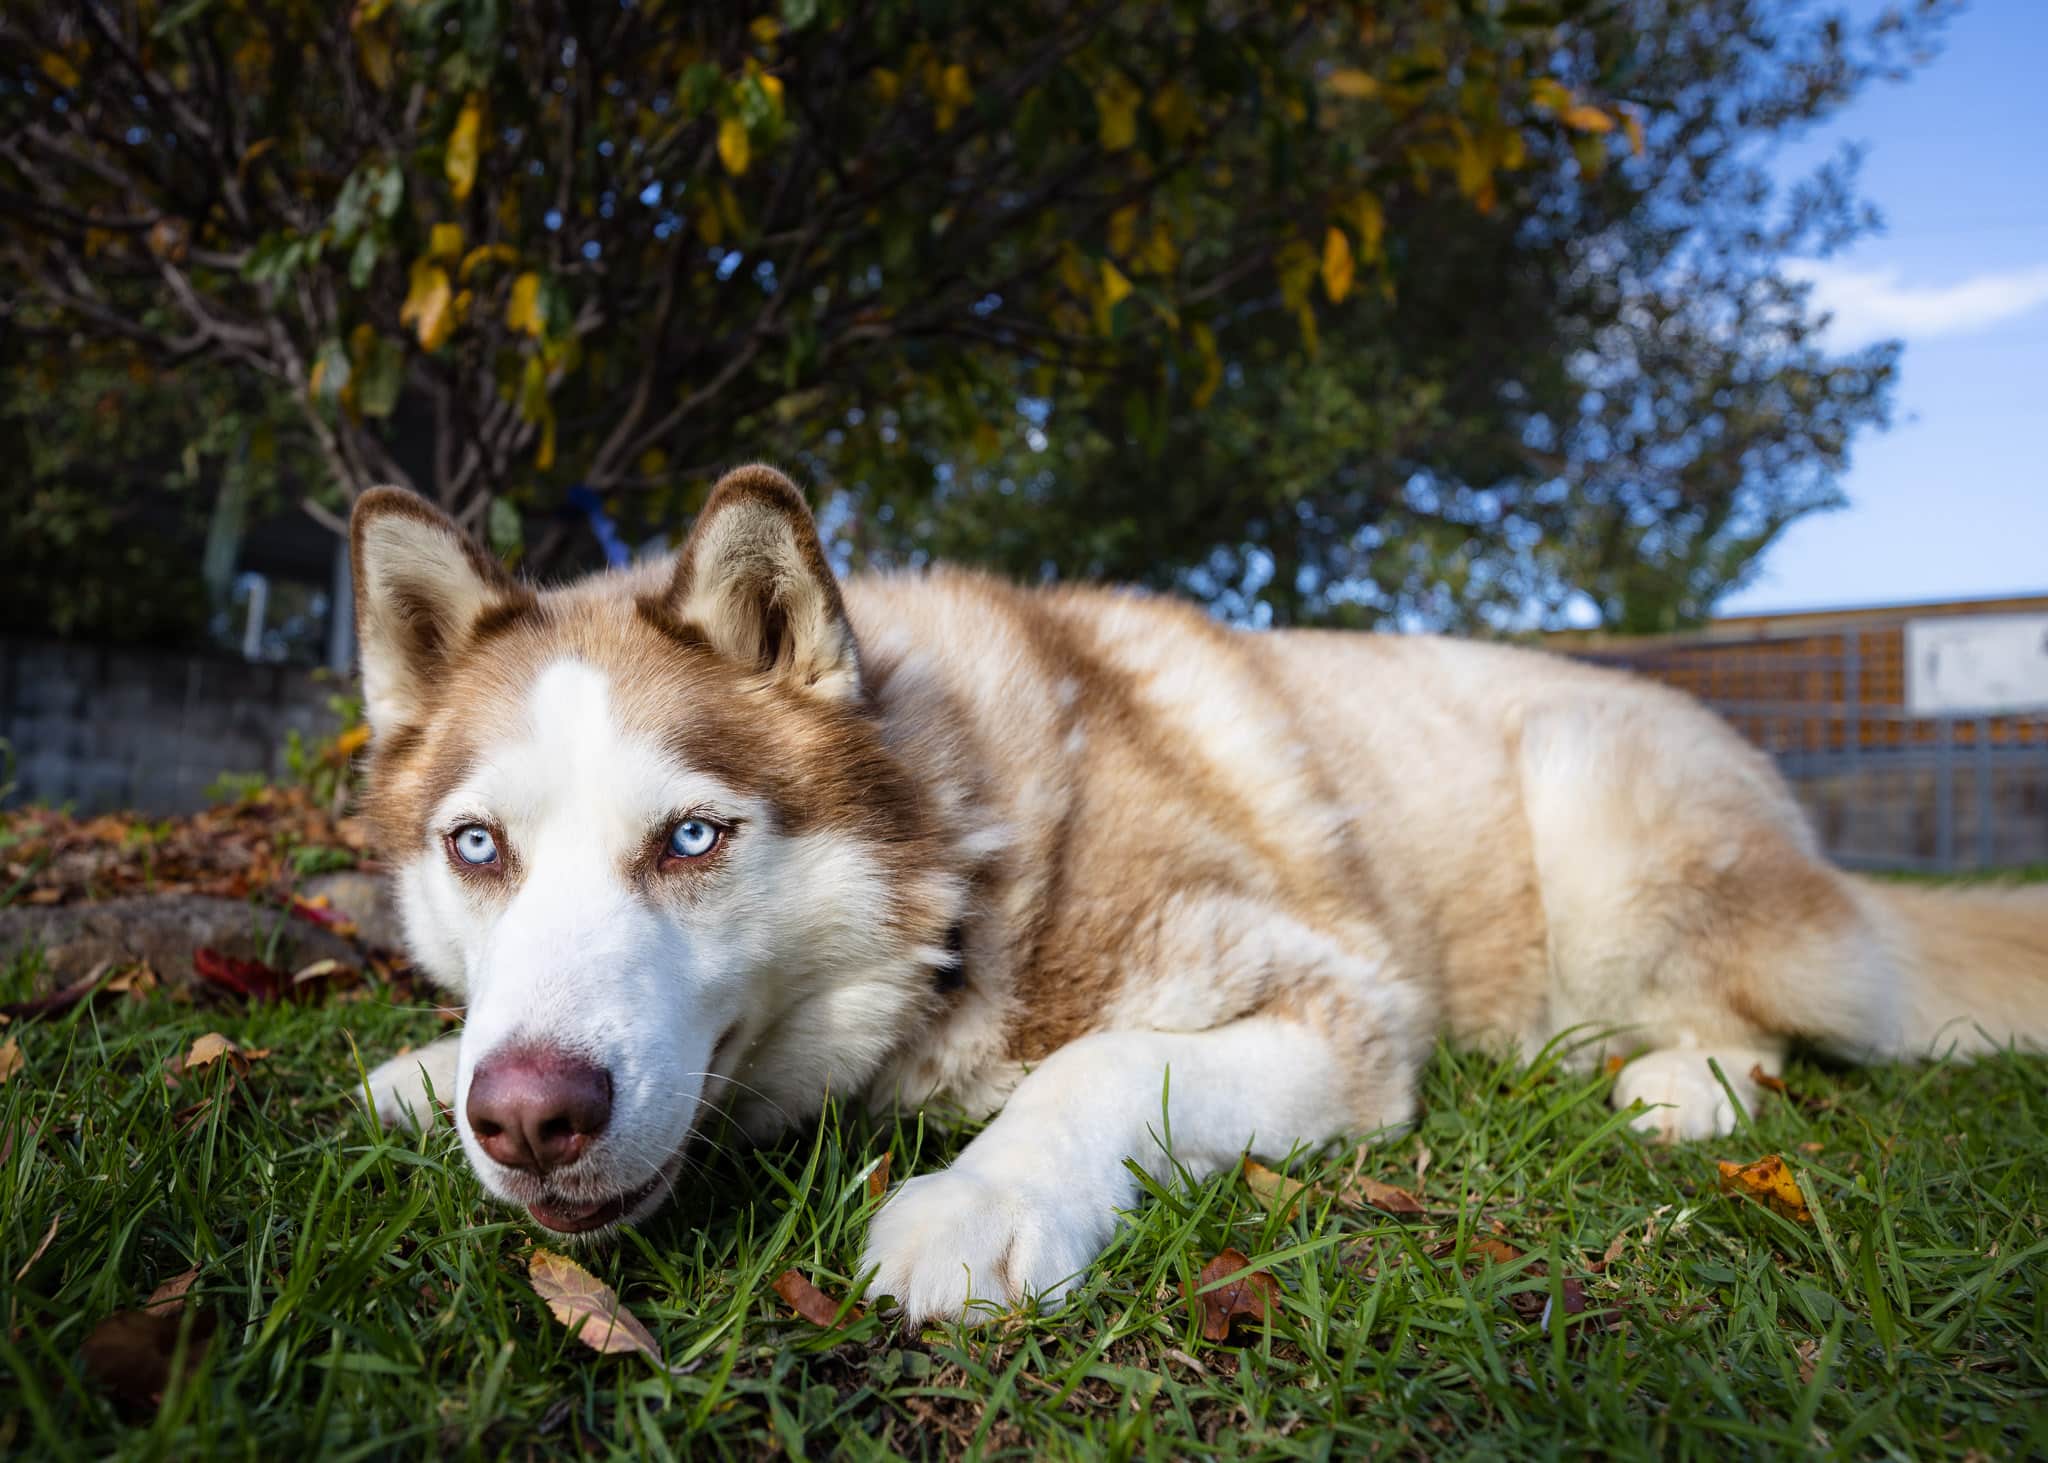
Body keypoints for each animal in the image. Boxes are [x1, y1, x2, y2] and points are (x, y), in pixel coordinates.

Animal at [360, 469, 2048, 1319]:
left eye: (694, 838)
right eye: (478, 848)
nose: (529, 1115)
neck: (970, 862)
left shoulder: (1339, 1012)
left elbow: (1099, 1066)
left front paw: (979, 1200)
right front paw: (427, 1066)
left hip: (1598, 806)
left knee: (1767, 1021)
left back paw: (1677, 1082)